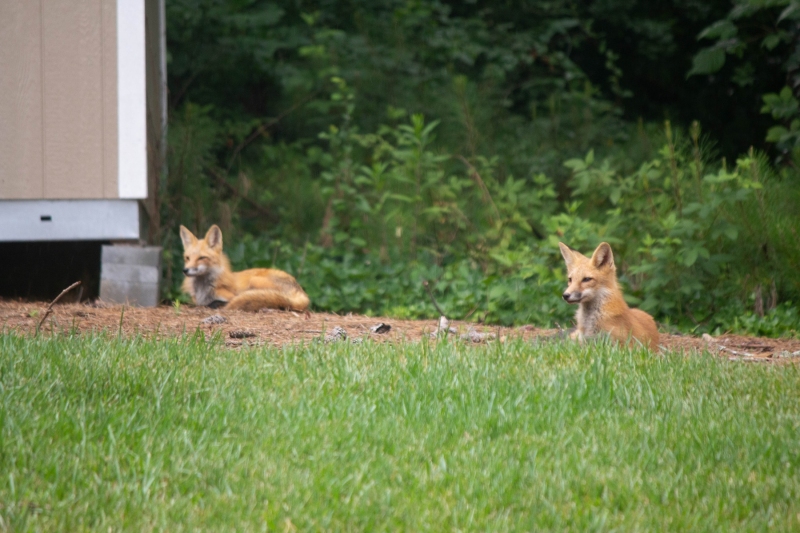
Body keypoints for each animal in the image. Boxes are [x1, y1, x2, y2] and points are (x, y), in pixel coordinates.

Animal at [180, 225, 310, 312]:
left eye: (201, 258)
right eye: (187, 258)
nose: (185, 270)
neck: (203, 290)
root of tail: (302, 293)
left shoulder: (230, 296)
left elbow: (219, 302)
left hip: (255, 280)